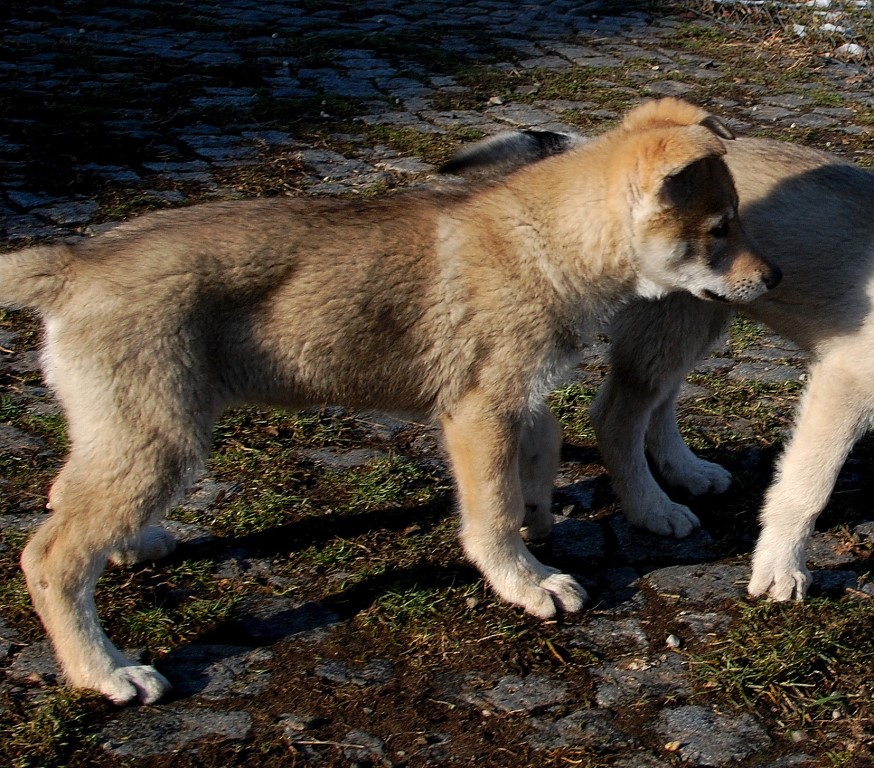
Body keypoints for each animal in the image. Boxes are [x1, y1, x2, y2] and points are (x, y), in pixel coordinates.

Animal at [1, 99, 776, 704]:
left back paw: (135, 545)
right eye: (720, 228)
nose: (772, 279)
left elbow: (545, 441)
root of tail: (71, 265)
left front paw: (539, 513)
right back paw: (104, 672)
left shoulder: (513, 392)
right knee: (49, 556)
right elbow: (489, 512)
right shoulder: (477, 413)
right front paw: (526, 581)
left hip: (128, 432)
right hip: (162, 438)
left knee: (67, 497)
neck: (544, 240)